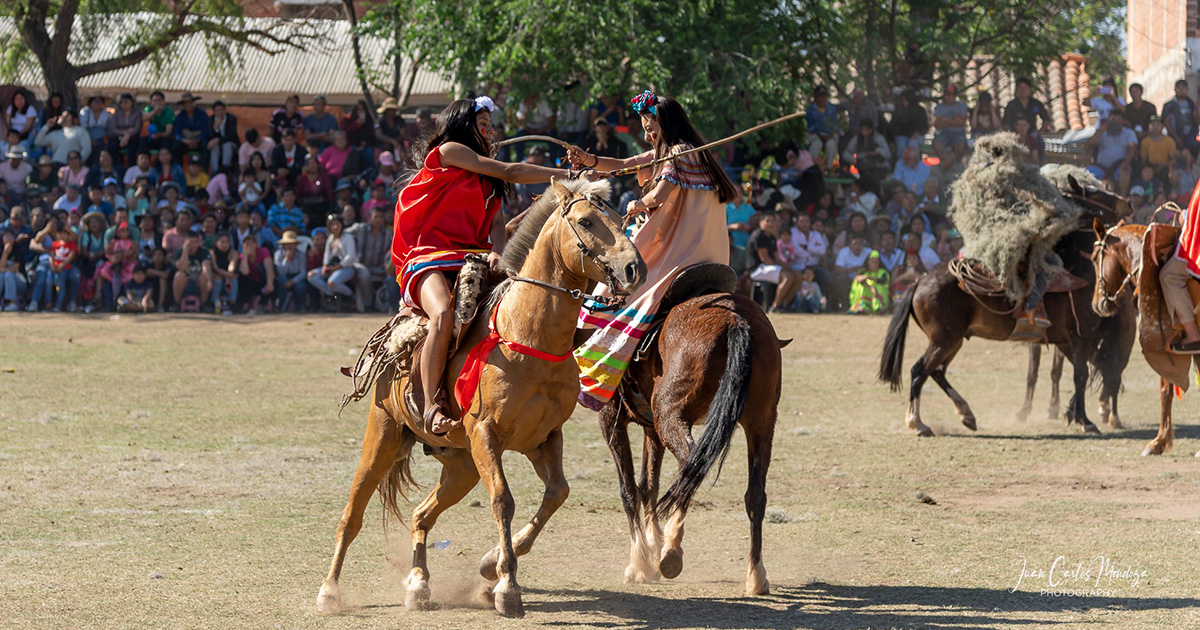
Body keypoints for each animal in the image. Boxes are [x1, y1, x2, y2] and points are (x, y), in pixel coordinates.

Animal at [314, 177, 643, 614]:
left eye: (621, 218)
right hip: (383, 435)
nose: (634, 268)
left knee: (421, 515)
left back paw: (419, 583)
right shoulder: (486, 434)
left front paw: (492, 565)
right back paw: (329, 590)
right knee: (352, 514)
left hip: (462, 465)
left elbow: (558, 493)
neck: (528, 334)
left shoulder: (544, 439)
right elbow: (503, 500)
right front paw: (507, 586)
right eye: (587, 221)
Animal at [600, 284, 787, 595]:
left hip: (670, 417)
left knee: (690, 466)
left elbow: (629, 490)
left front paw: (640, 564)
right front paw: (652, 545)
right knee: (755, 495)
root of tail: (735, 319)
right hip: (761, 423)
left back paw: (672, 552)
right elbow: (648, 485)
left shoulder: (610, 417)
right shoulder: (650, 429)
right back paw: (756, 576)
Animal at [1089, 220, 1200, 456]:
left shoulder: (1164, 347)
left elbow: (1165, 390)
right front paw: (1161, 441)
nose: (1097, 304)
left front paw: (1158, 441)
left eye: (1094, 258)